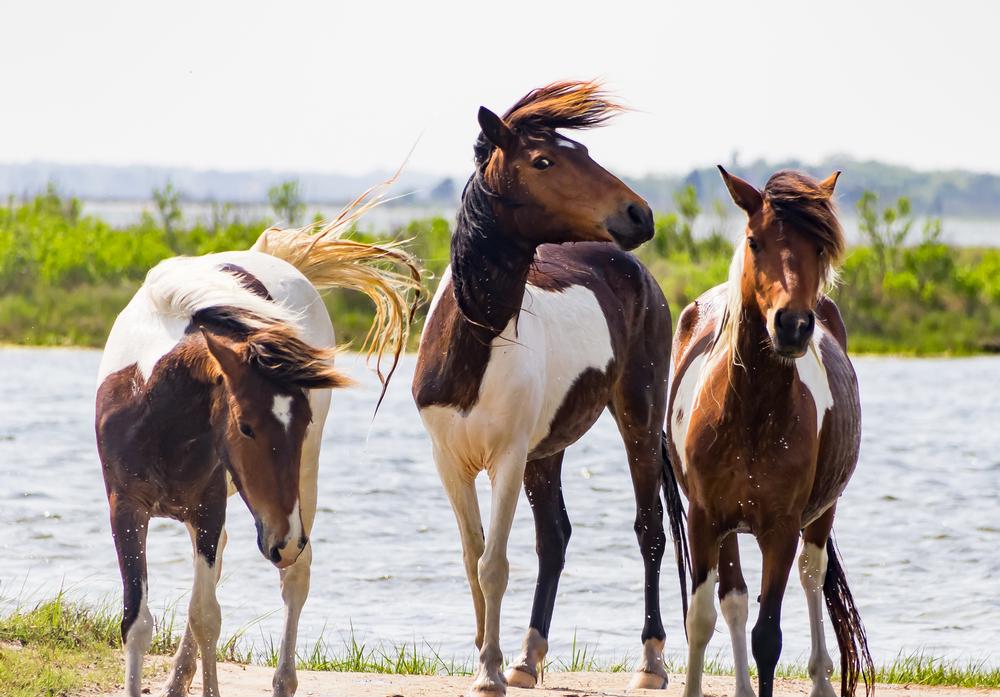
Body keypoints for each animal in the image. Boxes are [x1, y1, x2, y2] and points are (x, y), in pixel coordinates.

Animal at [412, 83, 688, 696]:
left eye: (582, 150)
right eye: (544, 161)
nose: (639, 214)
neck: (475, 343)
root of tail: (637, 273)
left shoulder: (508, 459)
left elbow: (494, 564)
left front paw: (488, 670)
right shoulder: (449, 461)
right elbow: (474, 557)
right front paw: (488, 659)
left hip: (637, 417)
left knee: (649, 531)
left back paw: (650, 662)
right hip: (548, 450)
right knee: (554, 538)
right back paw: (528, 656)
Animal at [668, 166, 872, 696]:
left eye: (819, 247)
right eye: (755, 241)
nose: (793, 325)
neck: (750, 417)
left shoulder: (780, 529)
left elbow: (769, 637)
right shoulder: (704, 519)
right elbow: (703, 618)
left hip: (819, 515)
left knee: (812, 576)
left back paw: (821, 679)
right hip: (728, 527)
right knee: (735, 599)